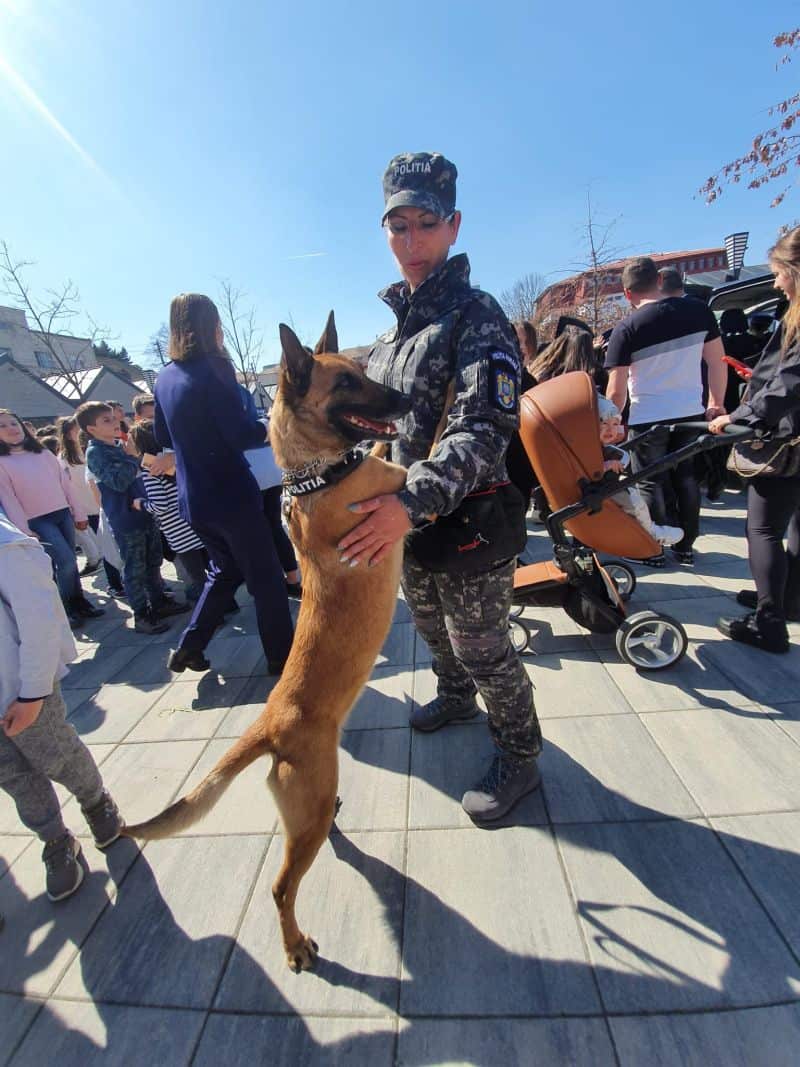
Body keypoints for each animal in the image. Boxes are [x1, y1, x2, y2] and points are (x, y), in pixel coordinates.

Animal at [126, 311, 413, 973]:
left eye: (362, 370)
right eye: (346, 384)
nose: (407, 398)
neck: (310, 478)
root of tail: (270, 722)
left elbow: (385, 443)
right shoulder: (396, 477)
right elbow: (415, 453)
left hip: (309, 809)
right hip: (306, 812)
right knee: (282, 887)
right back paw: (294, 945)